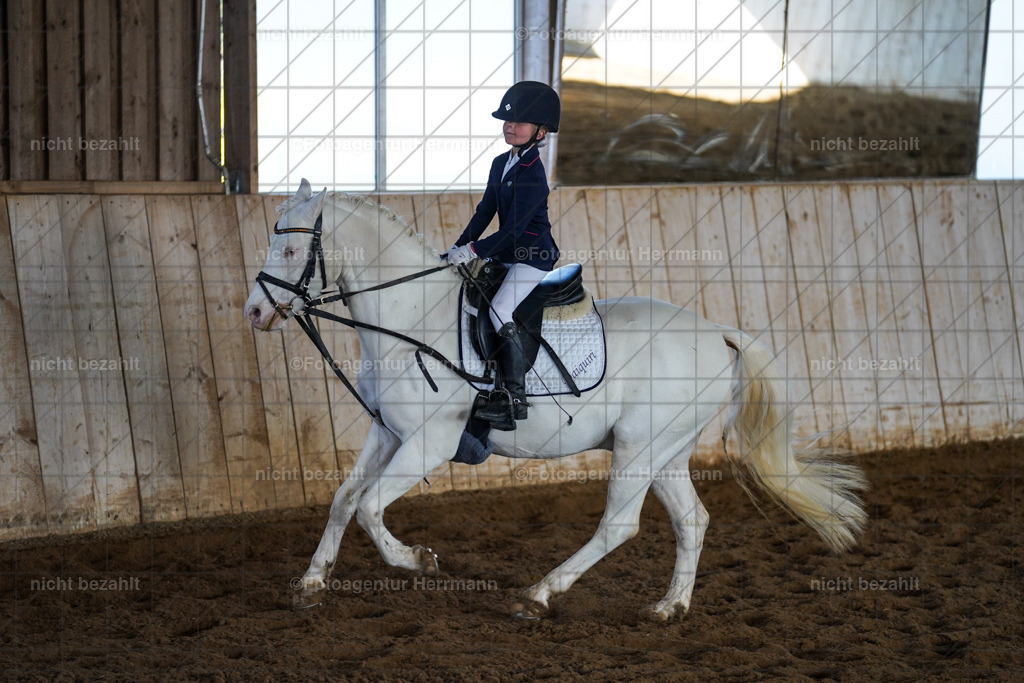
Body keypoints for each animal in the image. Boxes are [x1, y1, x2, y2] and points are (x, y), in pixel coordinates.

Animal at [243, 179, 867, 620]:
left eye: (292, 247)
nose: (254, 312)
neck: (410, 318)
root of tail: (716, 331)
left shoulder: (430, 442)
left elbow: (371, 508)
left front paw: (417, 561)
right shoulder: (387, 432)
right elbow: (344, 500)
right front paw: (311, 585)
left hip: (641, 446)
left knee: (619, 526)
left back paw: (537, 596)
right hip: (663, 451)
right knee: (692, 520)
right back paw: (669, 608)